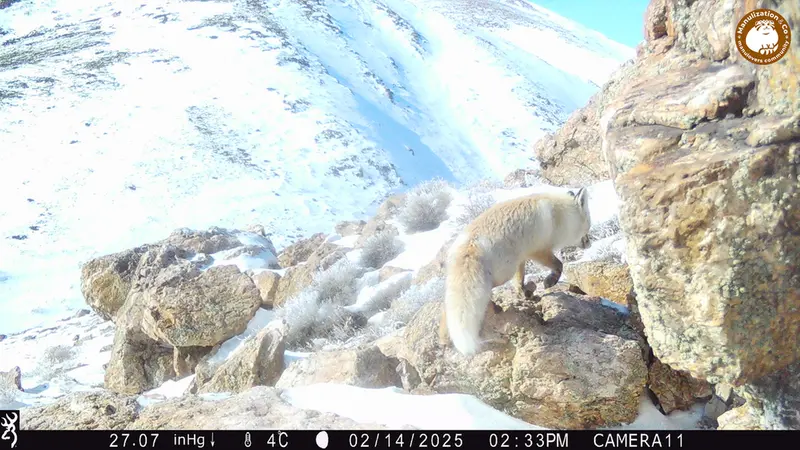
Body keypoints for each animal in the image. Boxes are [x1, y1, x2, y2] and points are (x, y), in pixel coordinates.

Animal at [439, 188, 592, 356]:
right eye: (588, 226)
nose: (590, 243)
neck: (559, 215)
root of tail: (470, 243)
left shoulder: (522, 257)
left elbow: (519, 281)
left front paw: (525, 293)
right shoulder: (538, 251)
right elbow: (559, 265)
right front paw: (550, 281)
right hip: (503, 273)